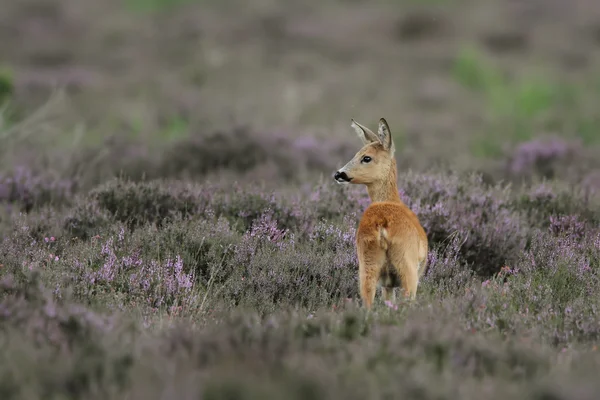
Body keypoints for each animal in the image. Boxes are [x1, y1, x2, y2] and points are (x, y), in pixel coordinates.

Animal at [332, 118, 426, 310]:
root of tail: (382, 224)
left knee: (367, 300)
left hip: (367, 264)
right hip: (407, 266)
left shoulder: (387, 283)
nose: (339, 174)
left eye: (366, 157)